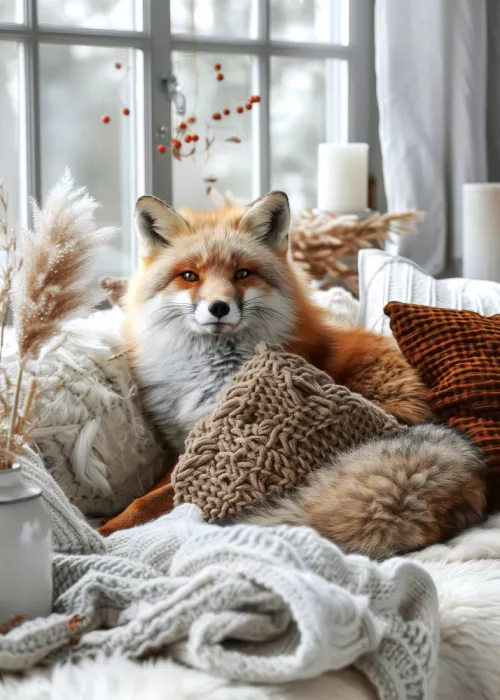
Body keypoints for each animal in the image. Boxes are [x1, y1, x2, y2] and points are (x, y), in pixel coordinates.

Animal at [124, 190, 485, 556]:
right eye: (189, 276)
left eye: (242, 273)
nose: (218, 308)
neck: (207, 374)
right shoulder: (182, 444)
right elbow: (145, 494)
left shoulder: (209, 448)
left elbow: (152, 500)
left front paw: (112, 528)